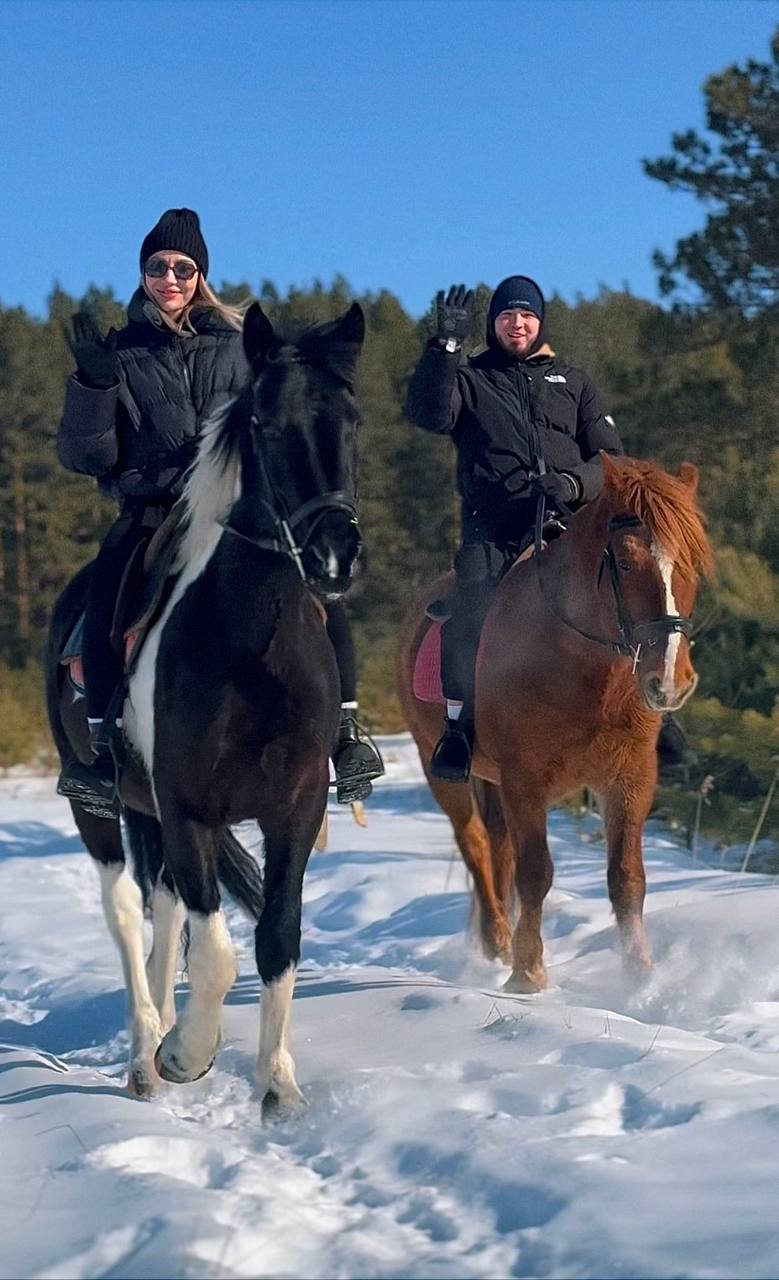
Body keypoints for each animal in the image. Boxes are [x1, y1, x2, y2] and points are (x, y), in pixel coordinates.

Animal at [45, 302, 363, 1111]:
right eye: (268, 426)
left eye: (351, 423)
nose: (335, 558)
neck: (252, 648)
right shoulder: (189, 807)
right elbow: (216, 952)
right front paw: (186, 1054)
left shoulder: (293, 808)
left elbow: (277, 937)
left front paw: (277, 1085)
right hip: (101, 810)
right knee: (129, 912)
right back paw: (144, 1056)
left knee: (161, 912)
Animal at [401, 455, 711, 993]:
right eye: (624, 562)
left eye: (691, 561)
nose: (670, 680)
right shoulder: (525, 781)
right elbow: (536, 873)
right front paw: (528, 973)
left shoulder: (630, 779)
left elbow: (627, 877)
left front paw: (639, 976)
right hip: (440, 768)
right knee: (476, 845)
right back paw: (499, 941)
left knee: (498, 847)